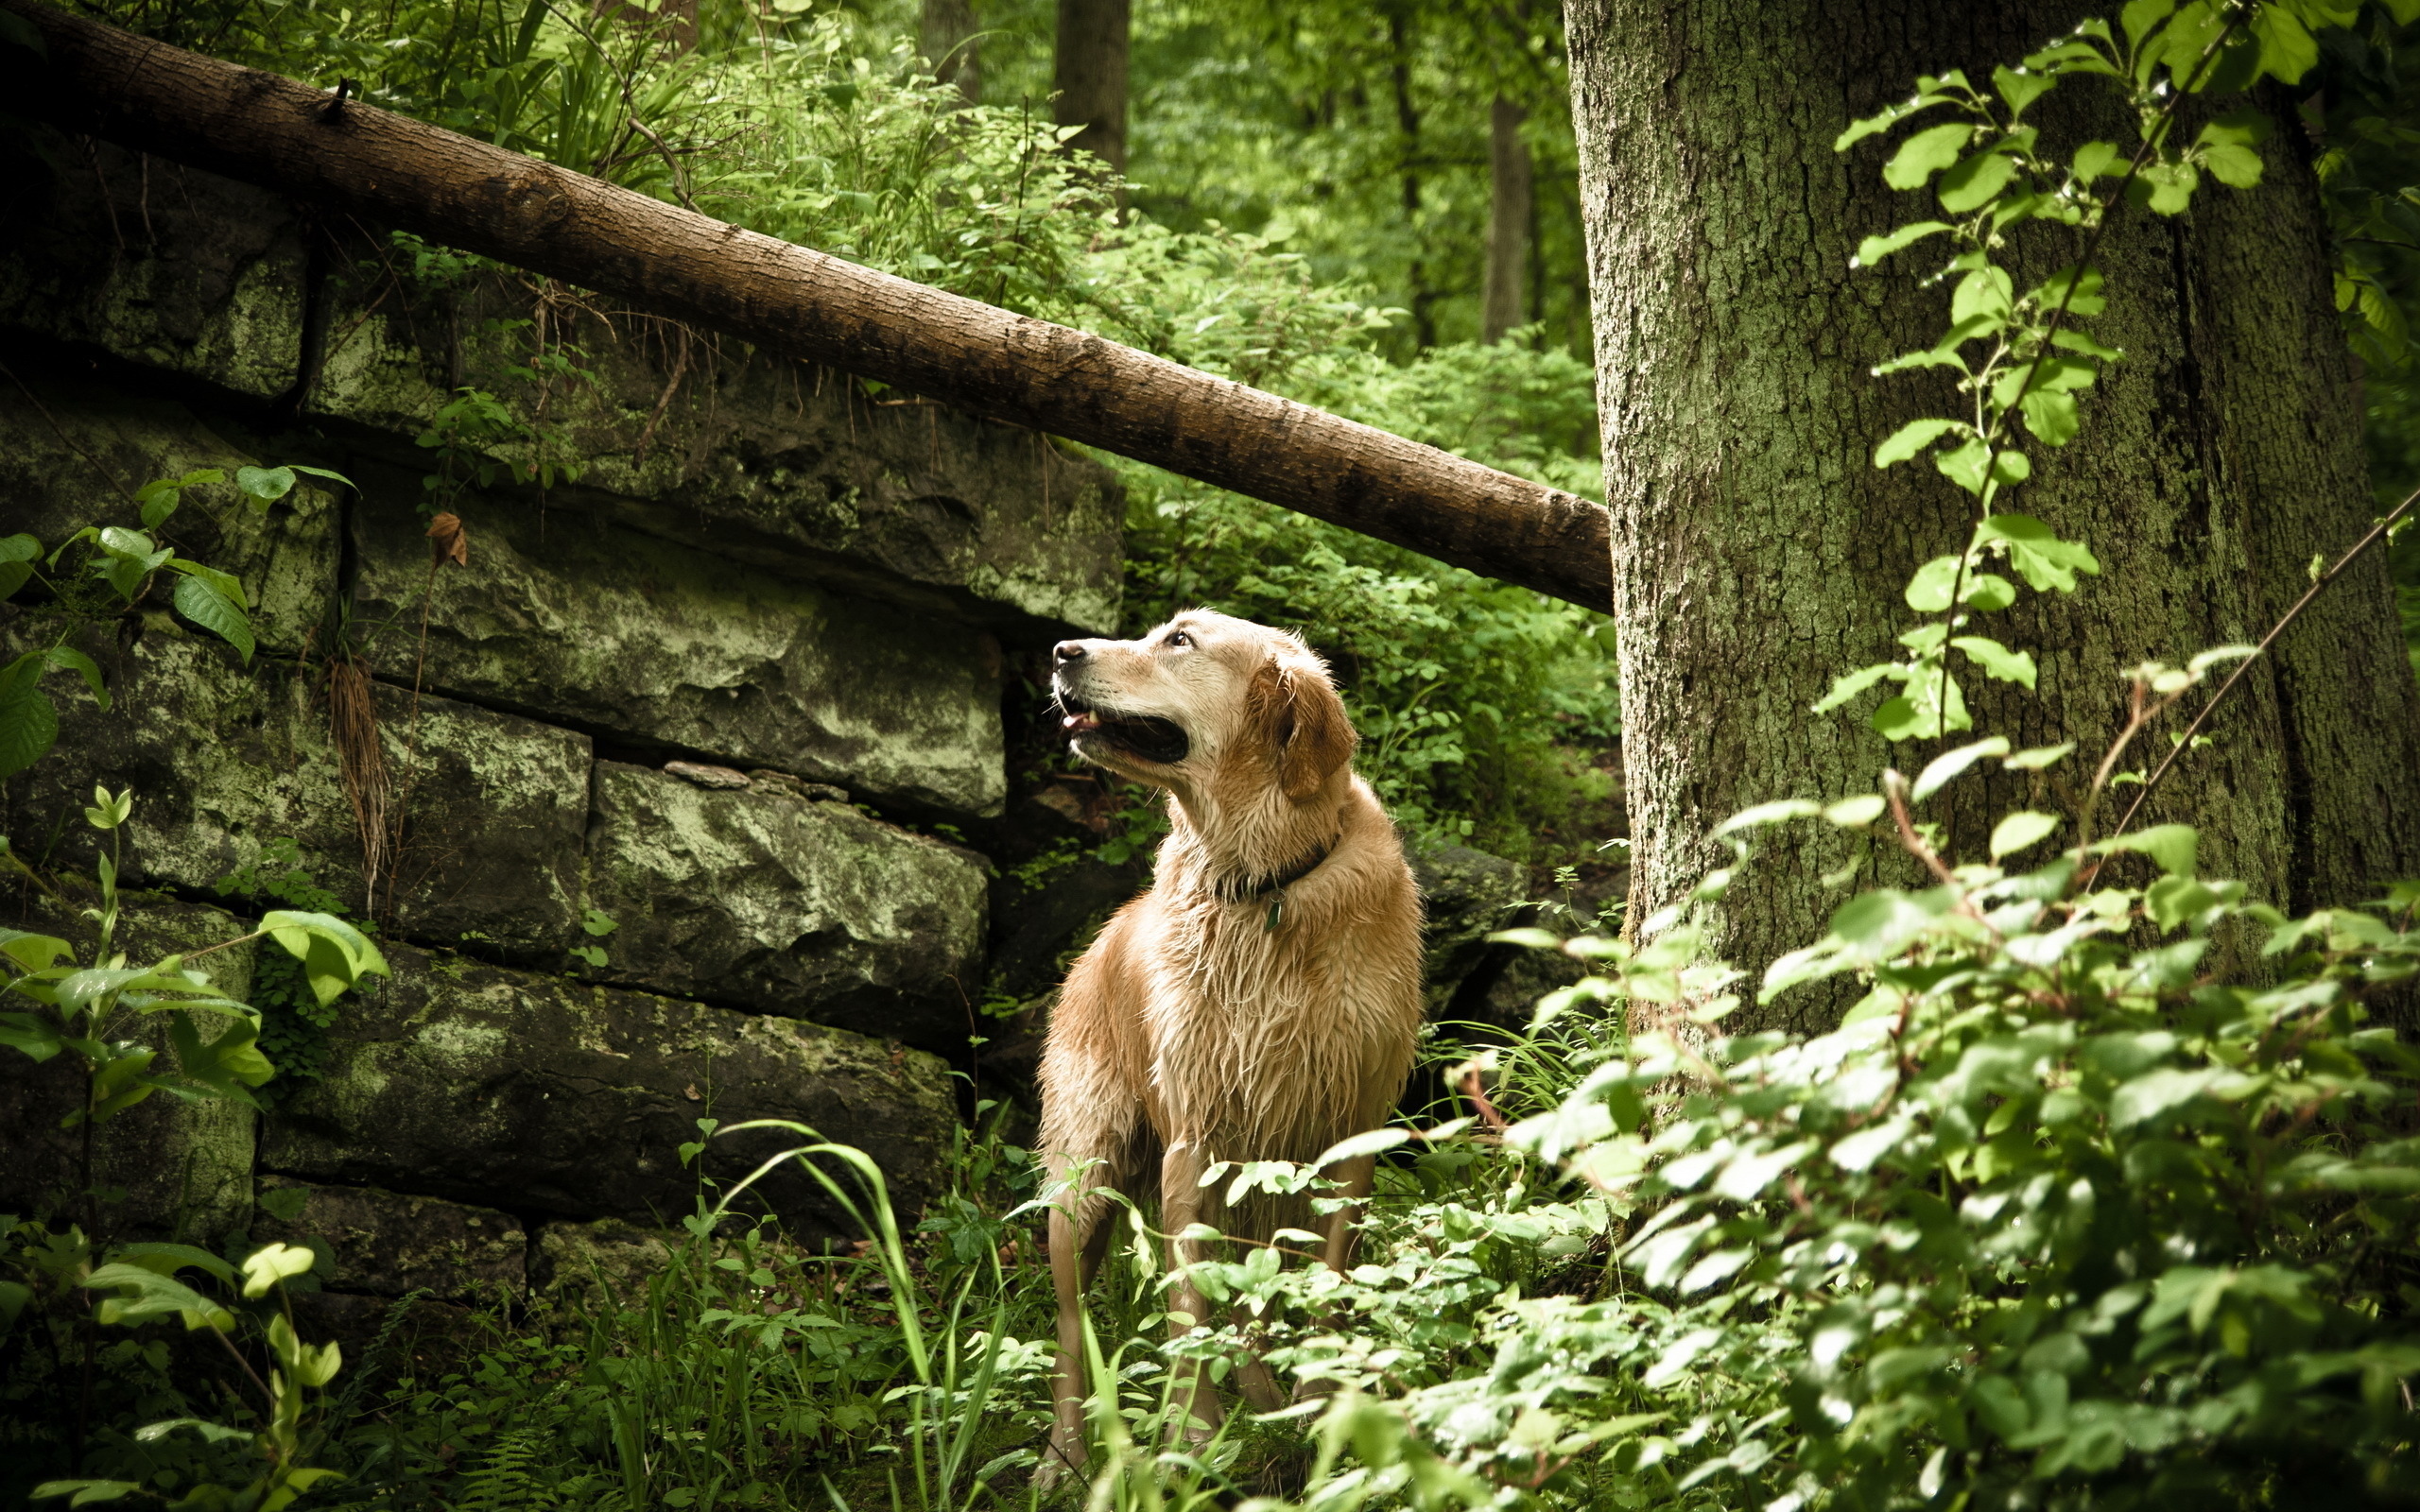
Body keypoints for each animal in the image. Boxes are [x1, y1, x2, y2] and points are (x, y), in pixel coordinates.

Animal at [1030, 607, 1423, 1480]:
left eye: (1180, 640)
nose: (1062, 650)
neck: (1264, 885)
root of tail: (1092, 946)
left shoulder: (1352, 1134)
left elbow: (1323, 1284)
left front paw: (1326, 1405)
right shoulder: (1194, 1141)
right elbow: (1190, 1305)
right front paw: (1193, 1438)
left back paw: (1270, 1402)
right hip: (1083, 1178)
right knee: (1071, 1329)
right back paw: (1064, 1456)